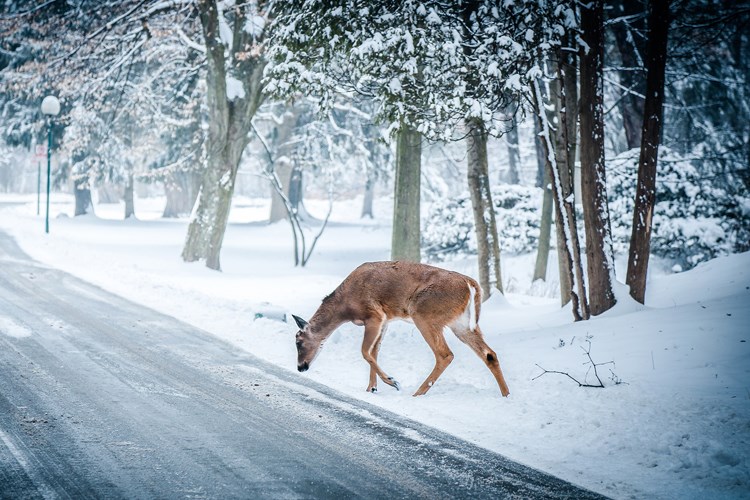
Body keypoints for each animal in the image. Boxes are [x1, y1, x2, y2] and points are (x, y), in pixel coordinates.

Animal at [294, 262, 512, 398]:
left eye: (298, 341)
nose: (300, 367)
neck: (345, 307)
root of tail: (470, 284)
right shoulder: (386, 320)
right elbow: (374, 352)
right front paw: (371, 388)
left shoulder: (374, 314)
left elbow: (365, 351)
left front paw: (392, 381)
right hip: (461, 323)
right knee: (489, 354)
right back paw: (506, 394)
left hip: (424, 313)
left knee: (445, 354)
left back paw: (417, 393)